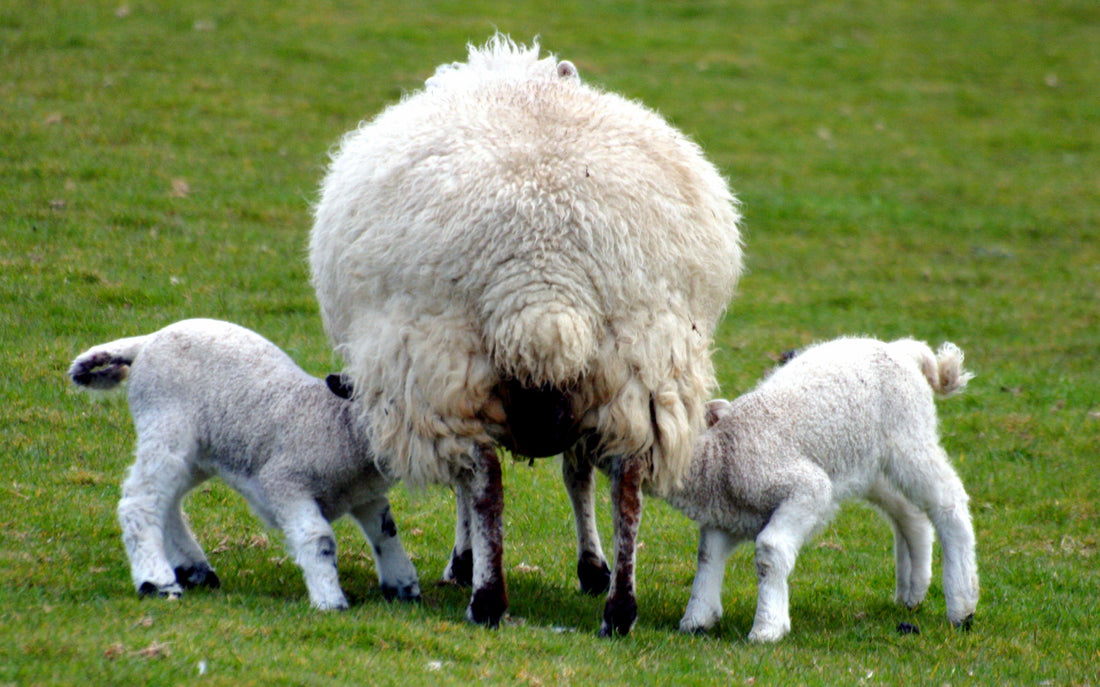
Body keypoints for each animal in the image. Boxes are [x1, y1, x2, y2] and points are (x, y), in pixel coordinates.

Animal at [67, 318, 421, 610]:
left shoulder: (364, 495)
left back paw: (195, 570)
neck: (336, 424)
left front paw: (403, 586)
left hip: (200, 450)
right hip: (165, 421)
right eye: (386, 403)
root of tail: (146, 341)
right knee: (141, 500)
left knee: (167, 499)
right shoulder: (284, 482)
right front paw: (330, 600)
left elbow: (386, 532)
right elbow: (318, 538)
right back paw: (157, 581)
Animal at [309, 34, 743, 634]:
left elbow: (474, 485)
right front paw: (592, 568)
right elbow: (578, 475)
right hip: (638, 362)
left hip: (443, 359)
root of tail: (543, 278)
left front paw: (466, 560)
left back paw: (488, 598)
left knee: (484, 481)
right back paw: (619, 609)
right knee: (628, 487)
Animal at [664, 337, 979, 642]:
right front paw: (697, 618)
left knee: (949, 502)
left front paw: (767, 626)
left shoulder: (806, 488)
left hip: (910, 438)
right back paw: (911, 591)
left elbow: (770, 550)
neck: (721, 452)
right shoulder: (728, 514)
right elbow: (707, 554)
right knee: (909, 513)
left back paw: (962, 605)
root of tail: (903, 348)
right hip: (869, 465)